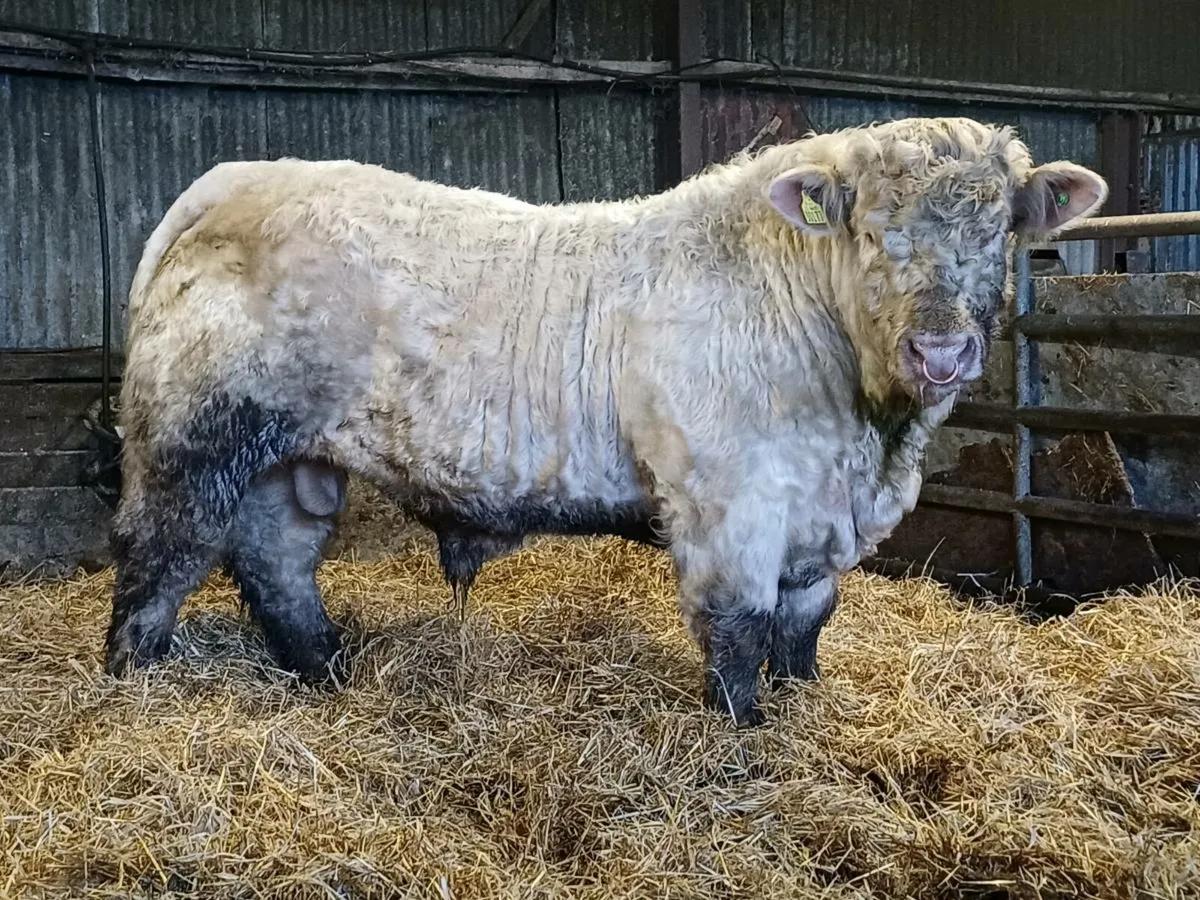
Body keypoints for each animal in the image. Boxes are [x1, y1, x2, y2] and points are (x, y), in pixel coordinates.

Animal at [103, 116, 1106, 726]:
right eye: (869, 231)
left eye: (999, 230)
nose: (940, 350)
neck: (866, 436)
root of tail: (234, 178)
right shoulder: (729, 502)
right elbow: (740, 631)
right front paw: (741, 736)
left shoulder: (818, 522)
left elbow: (803, 627)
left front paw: (800, 707)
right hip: (188, 443)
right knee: (157, 563)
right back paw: (130, 689)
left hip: (287, 459)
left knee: (276, 564)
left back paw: (325, 673)